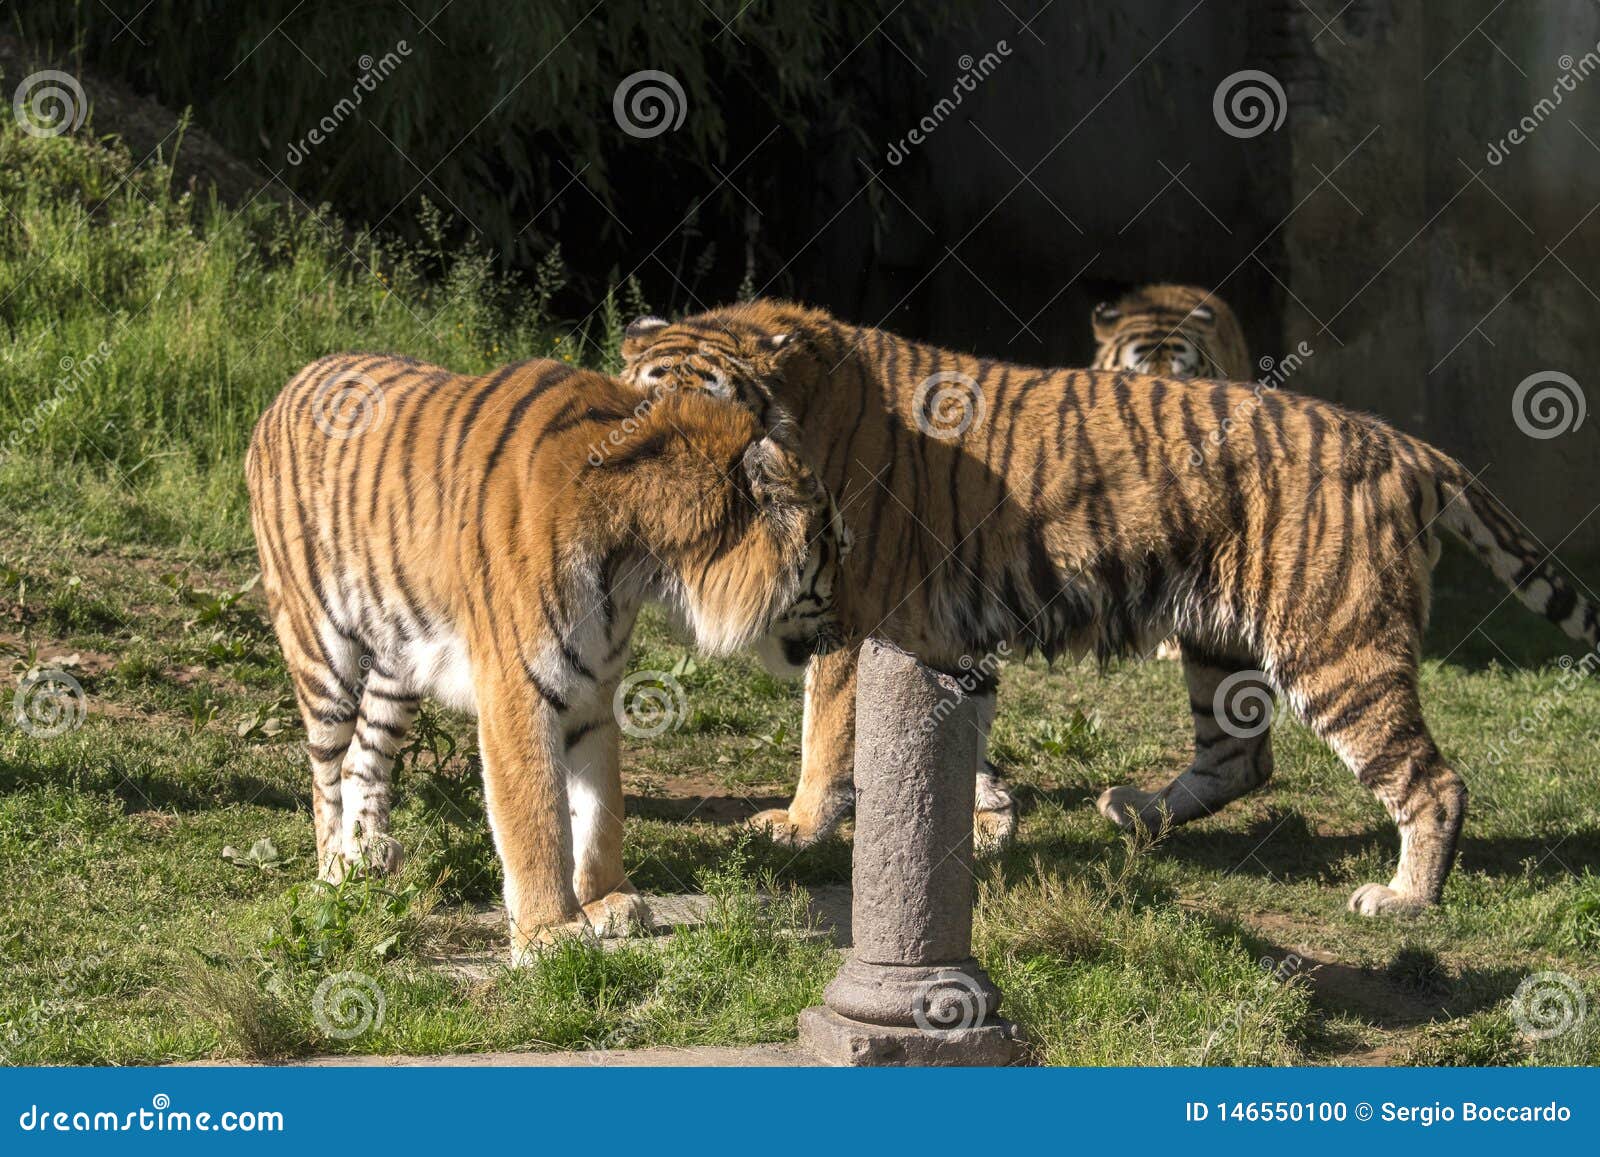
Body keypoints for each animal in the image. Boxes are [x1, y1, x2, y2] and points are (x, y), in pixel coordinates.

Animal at [246, 350, 851, 960]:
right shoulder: (517, 688)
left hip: (400, 659)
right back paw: (336, 871)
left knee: (360, 758)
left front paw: (607, 900)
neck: (641, 563)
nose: (856, 626)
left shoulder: (594, 688)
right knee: (326, 773)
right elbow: (536, 814)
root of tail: (290, 385)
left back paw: (371, 853)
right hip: (322, 653)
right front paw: (549, 932)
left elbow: (603, 806)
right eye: (837, 552)